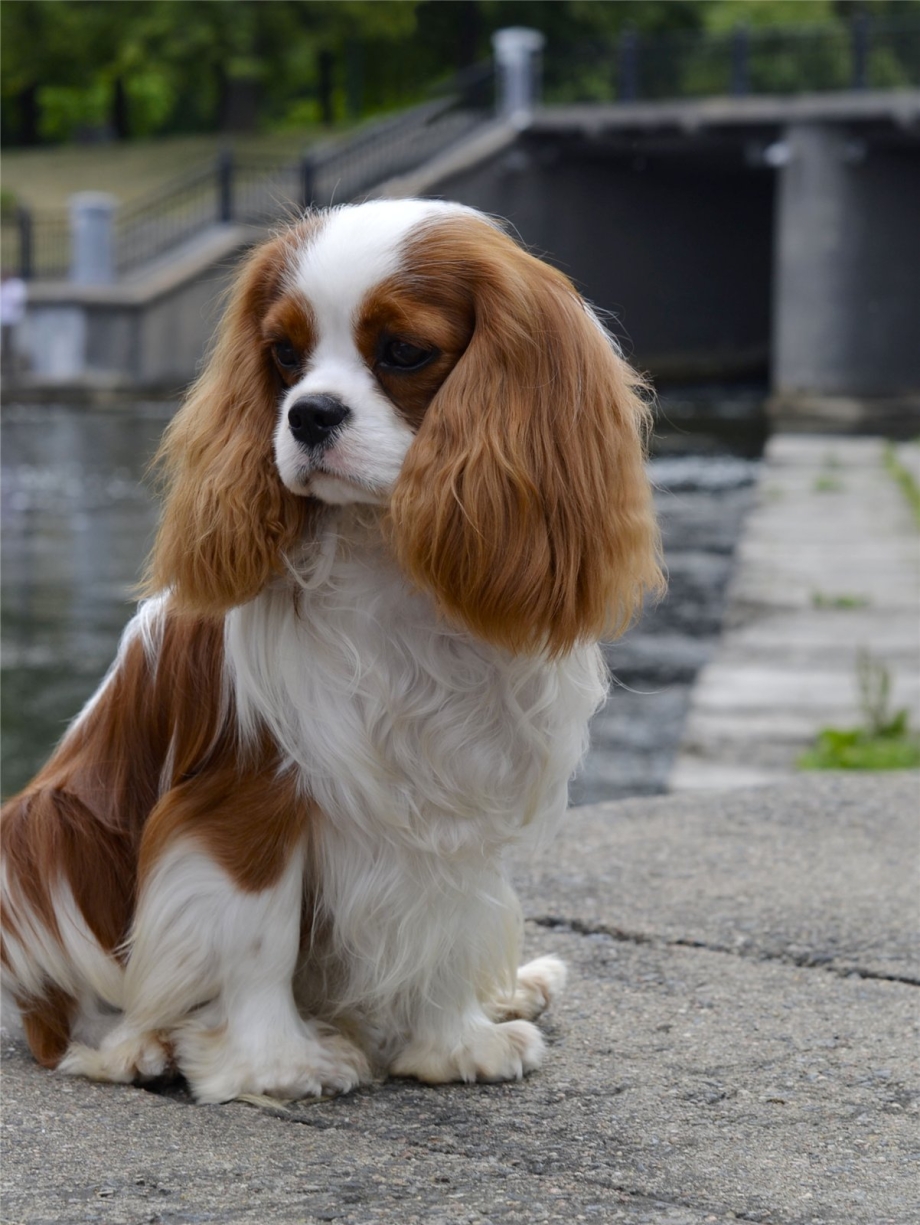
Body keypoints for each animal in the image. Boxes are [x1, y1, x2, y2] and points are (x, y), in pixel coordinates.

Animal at [1, 200, 662, 1103]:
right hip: (42, 826)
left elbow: (443, 914)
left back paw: (510, 988)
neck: (384, 553)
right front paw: (279, 1063)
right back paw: (131, 1045)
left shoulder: (449, 791)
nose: (308, 413)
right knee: (58, 1018)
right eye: (284, 355)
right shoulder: (252, 791)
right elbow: (259, 930)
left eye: (405, 351)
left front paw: (454, 1040)